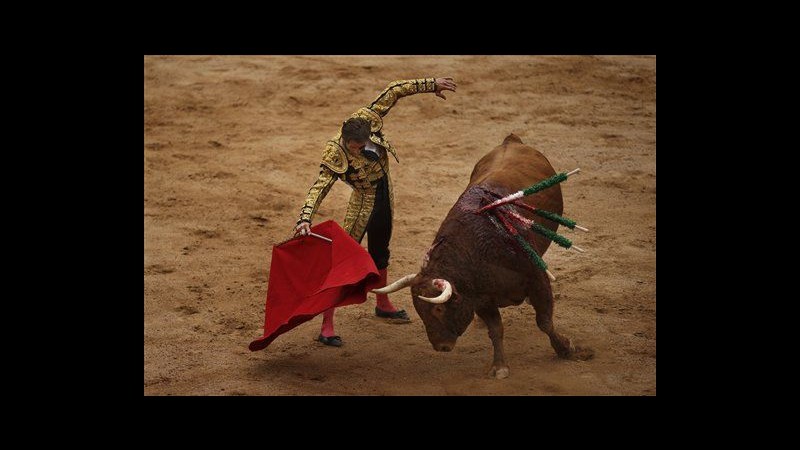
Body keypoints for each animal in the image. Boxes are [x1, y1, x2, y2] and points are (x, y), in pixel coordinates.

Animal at [372, 134, 592, 380]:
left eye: (438, 309)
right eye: (418, 310)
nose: (441, 347)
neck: (476, 252)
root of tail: (511, 141)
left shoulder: (537, 280)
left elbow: (544, 321)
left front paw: (567, 349)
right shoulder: (481, 298)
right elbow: (496, 330)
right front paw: (499, 366)